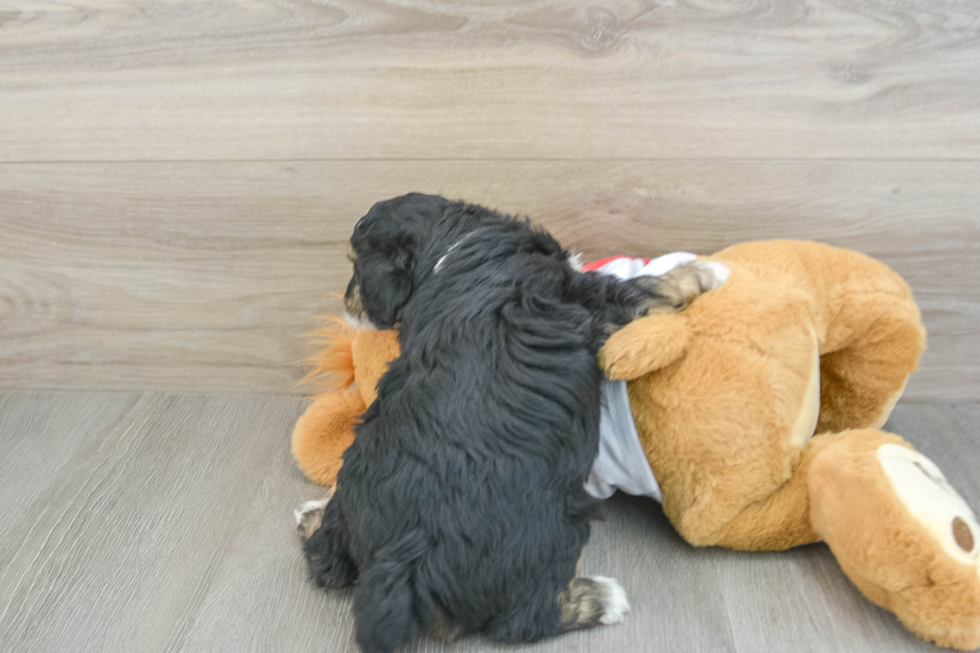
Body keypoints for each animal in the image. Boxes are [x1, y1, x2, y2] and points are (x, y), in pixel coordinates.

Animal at [296, 194, 720, 652]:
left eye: (355, 268)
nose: (345, 306)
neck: (453, 244)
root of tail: (400, 562)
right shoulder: (585, 297)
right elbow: (640, 288)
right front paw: (706, 272)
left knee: (326, 556)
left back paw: (311, 516)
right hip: (553, 532)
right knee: (524, 620)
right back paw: (604, 599)